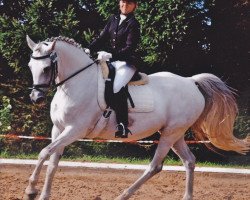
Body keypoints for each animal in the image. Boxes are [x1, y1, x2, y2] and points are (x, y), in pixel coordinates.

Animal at [24, 35, 249, 199]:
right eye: (30, 66)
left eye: (46, 68)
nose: (36, 98)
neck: (77, 82)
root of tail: (191, 82)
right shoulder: (59, 129)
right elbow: (53, 162)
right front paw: (43, 195)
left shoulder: (75, 130)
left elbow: (44, 152)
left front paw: (31, 190)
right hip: (175, 134)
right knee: (189, 161)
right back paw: (186, 197)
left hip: (170, 133)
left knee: (155, 166)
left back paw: (123, 195)